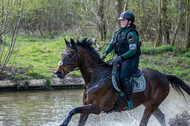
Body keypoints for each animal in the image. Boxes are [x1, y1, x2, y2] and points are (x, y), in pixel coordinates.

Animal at [53, 38, 190, 126]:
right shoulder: (86, 106)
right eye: (62, 53)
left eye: (70, 55)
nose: (57, 72)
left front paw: (63, 123)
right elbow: (78, 117)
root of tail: (164, 76)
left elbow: (73, 110)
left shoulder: (95, 108)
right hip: (149, 103)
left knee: (144, 121)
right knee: (161, 116)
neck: (96, 78)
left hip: (152, 104)